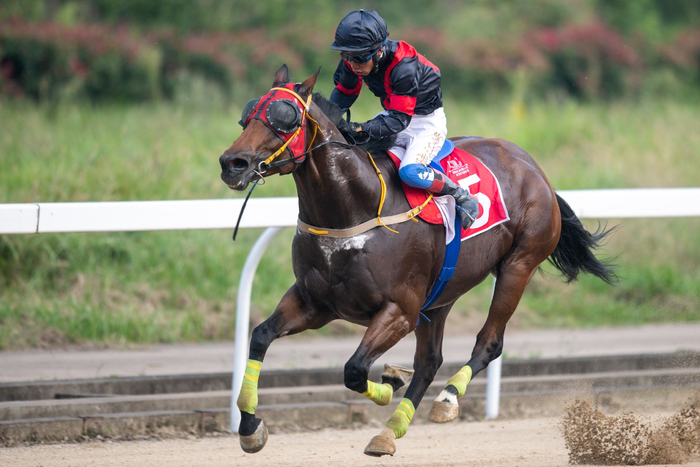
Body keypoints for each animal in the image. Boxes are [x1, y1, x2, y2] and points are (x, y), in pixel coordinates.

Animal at [219, 65, 616, 457]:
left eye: (285, 117)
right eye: (247, 115)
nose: (232, 163)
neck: (354, 209)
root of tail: (533, 168)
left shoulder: (400, 309)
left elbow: (354, 369)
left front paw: (389, 382)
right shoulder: (315, 302)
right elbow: (261, 335)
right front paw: (250, 426)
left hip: (519, 265)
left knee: (488, 342)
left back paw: (447, 398)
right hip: (441, 293)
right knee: (429, 362)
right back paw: (389, 431)